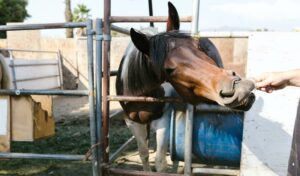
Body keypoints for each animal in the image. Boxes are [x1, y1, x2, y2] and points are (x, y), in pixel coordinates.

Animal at [116, 1, 254, 172]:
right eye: (168, 70)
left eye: (198, 47)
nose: (241, 88)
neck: (143, 94)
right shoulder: (131, 122)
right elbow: (144, 154)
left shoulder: (164, 119)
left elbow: (160, 161)